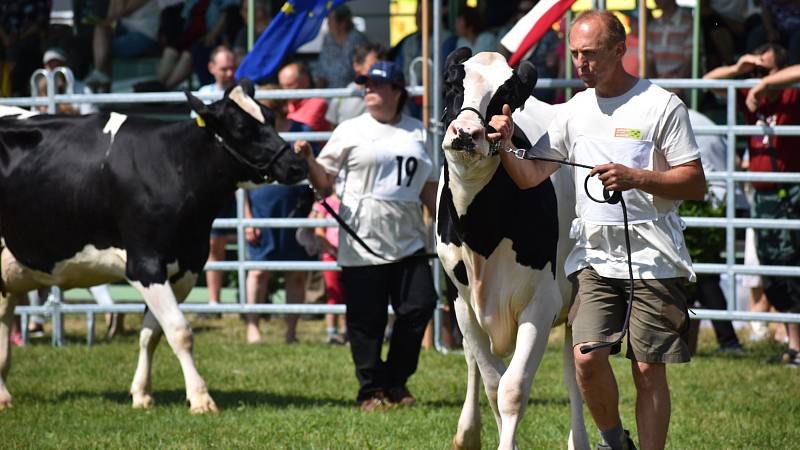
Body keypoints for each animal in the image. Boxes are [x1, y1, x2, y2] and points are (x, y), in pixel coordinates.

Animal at [0, 80, 306, 412]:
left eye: (270, 117)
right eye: (241, 127)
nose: (296, 165)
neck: (176, 166)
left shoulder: (186, 267)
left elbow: (152, 334)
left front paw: (142, 393)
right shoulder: (144, 264)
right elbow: (180, 331)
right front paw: (200, 398)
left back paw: (3, 395)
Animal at [438, 49, 588, 450]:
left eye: (507, 93)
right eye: (452, 85)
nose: (465, 133)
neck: (481, 235)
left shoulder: (542, 303)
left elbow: (513, 389)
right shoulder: (462, 305)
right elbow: (492, 383)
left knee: (575, 376)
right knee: (472, 362)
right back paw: (467, 431)